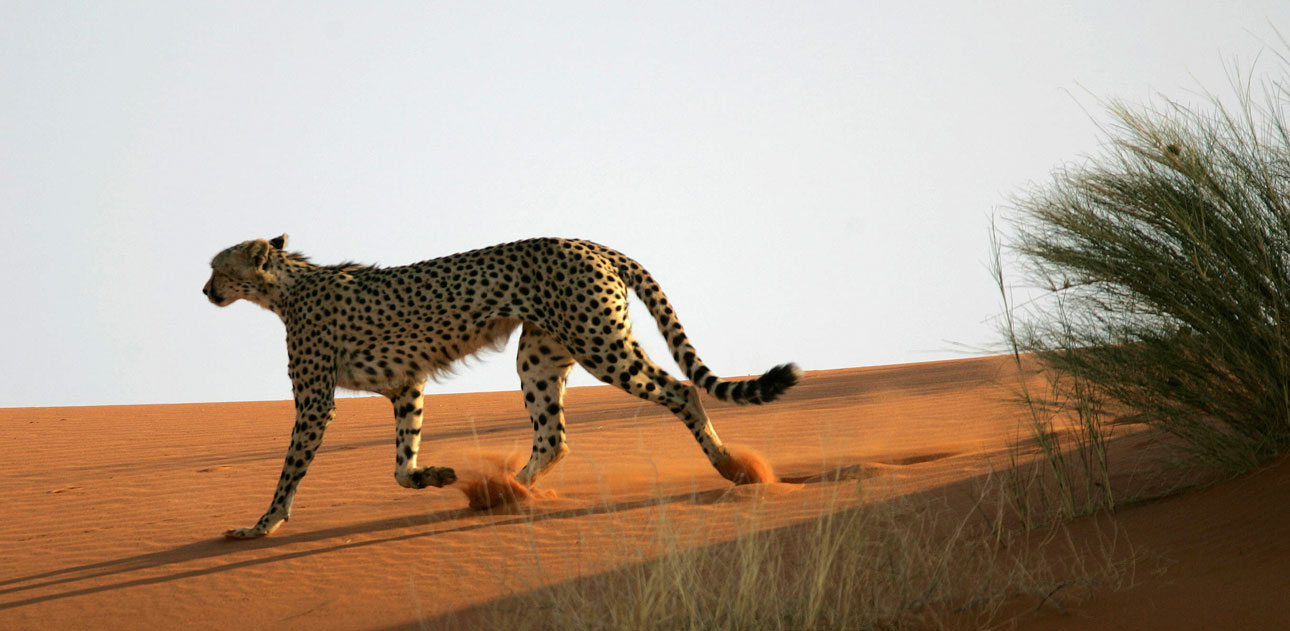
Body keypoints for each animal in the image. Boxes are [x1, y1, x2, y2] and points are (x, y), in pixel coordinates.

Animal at [204, 235, 801, 538]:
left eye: (217, 267)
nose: (205, 290)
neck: (284, 287)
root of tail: (590, 242)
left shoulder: (315, 401)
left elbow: (290, 469)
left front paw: (261, 525)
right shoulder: (406, 385)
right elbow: (400, 466)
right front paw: (436, 475)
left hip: (600, 344)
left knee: (681, 390)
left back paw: (730, 466)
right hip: (539, 356)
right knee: (554, 438)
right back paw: (506, 490)